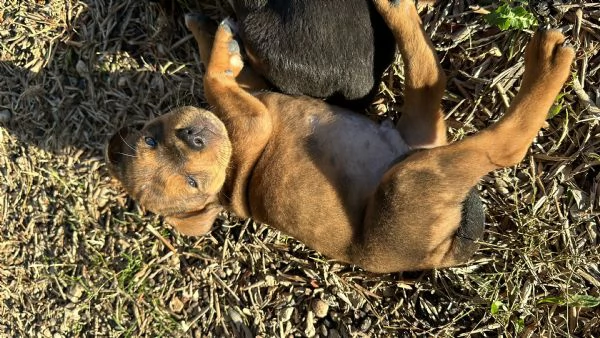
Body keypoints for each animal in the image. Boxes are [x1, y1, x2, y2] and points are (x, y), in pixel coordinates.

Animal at [105, 0, 576, 274]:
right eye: (192, 183)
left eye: (150, 139)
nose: (195, 137)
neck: (230, 160)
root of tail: (443, 254)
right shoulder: (251, 119)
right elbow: (213, 80)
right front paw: (218, 45)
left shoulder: (255, 86)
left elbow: (217, 70)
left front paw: (206, 31)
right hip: (412, 181)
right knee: (504, 147)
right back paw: (549, 60)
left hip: (420, 130)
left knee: (428, 70)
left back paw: (397, 5)